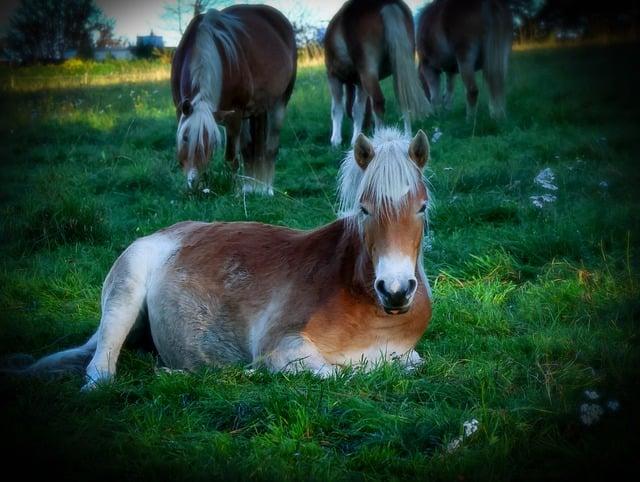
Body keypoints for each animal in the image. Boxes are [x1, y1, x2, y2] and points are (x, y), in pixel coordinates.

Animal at [16, 128, 436, 388]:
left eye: (422, 207)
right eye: (364, 209)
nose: (395, 290)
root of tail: (162, 234)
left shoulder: (407, 356)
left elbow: (407, 365)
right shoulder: (283, 348)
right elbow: (340, 372)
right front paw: (243, 374)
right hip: (124, 294)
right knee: (99, 371)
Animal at [172, 5, 298, 194]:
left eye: (212, 142)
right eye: (186, 138)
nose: (194, 182)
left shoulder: (234, 115)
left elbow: (231, 157)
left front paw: (233, 192)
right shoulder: (181, 110)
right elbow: (245, 151)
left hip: (279, 102)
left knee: (270, 148)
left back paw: (266, 189)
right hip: (256, 110)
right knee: (252, 148)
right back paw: (252, 187)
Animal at [324, 0, 430, 147]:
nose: (367, 127)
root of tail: (387, 4)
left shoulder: (333, 77)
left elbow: (337, 109)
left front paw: (336, 140)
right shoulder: (359, 82)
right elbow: (358, 109)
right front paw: (355, 138)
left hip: (368, 71)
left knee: (379, 102)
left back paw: (380, 139)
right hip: (399, 67)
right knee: (403, 99)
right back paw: (407, 138)